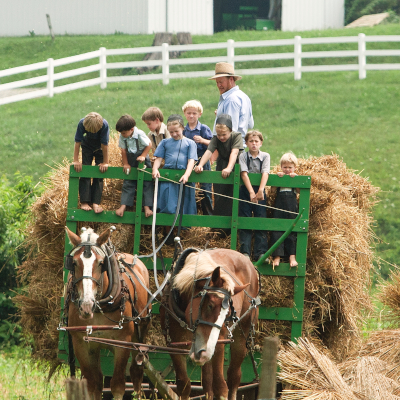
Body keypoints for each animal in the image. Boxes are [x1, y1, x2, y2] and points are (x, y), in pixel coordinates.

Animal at [64, 227, 152, 398]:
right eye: (74, 263)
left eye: (101, 263)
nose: (86, 305)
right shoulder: (82, 344)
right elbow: (93, 384)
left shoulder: (123, 343)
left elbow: (117, 384)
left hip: (140, 333)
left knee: (136, 371)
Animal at [161, 247, 260, 400]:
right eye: (210, 305)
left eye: (228, 313)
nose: (205, 352)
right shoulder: (173, 344)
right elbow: (184, 384)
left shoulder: (217, 342)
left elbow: (220, 386)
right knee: (207, 381)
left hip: (241, 335)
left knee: (233, 377)